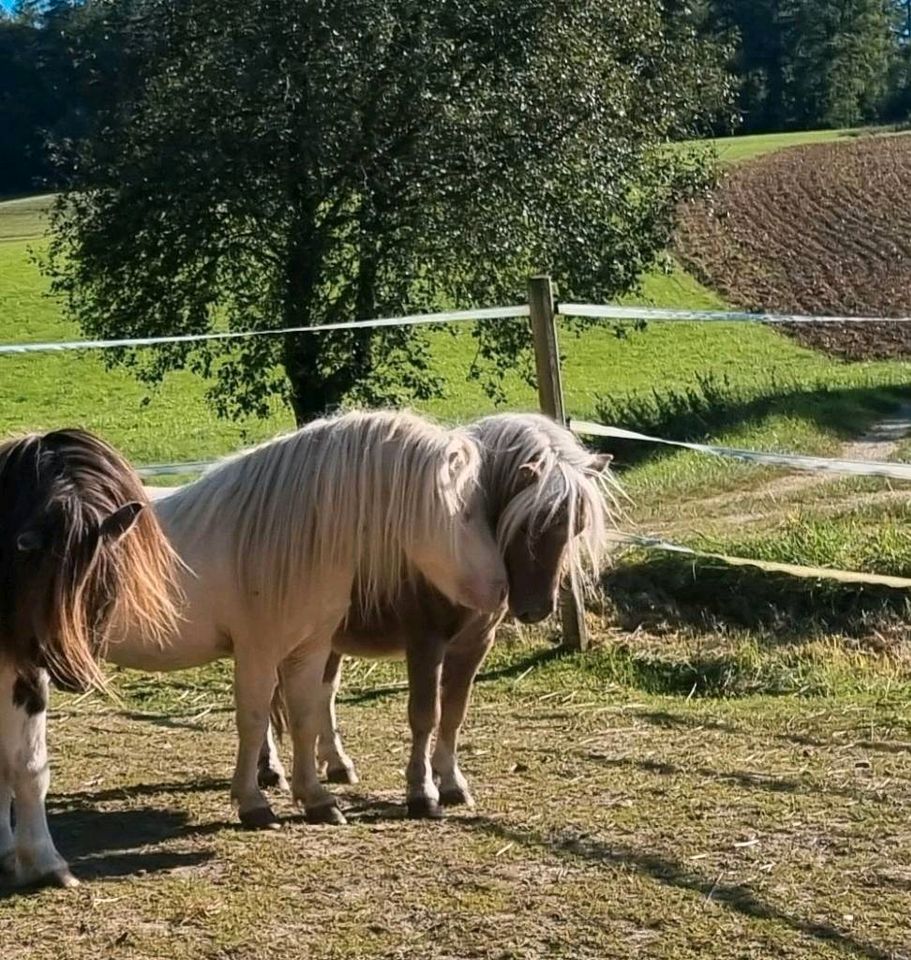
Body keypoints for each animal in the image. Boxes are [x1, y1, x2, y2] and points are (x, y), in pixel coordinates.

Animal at [0, 432, 178, 888]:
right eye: (42, 577)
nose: (69, 672)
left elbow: (25, 765)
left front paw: (35, 860)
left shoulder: (24, 674)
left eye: (106, 578)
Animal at [108, 410, 506, 824]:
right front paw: (253, 804)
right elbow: (253, 720)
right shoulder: (258, 652)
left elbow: (305, 717)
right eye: (466, 513)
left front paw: (316, 799)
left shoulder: (309, 650)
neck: (278, 535)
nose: (500, 590)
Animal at [264, 412, 620, 816]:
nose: (536, 609)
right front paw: (421, 791)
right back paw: (269, 769)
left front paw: (450, 782)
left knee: (322, 694)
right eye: (528, 523)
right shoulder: (426, 642)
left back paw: (336, 763)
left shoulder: (474, 643)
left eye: (576, 526)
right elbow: (425, 715)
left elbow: (454, 712)